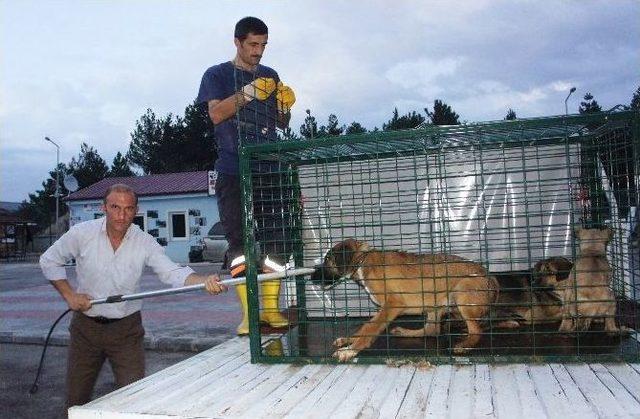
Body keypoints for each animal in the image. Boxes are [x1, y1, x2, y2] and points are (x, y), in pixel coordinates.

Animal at [312, 240, 498, 360]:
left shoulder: (392, 305)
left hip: (462, 294)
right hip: (435, 303)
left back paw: (464, 345)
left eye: (327, 260)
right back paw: (404, 332)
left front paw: (350, 350)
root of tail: (492, 278)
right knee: (432, 330)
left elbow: (370, 327)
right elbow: (366, 326)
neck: (363, 262)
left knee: (476, 331)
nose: (311, 278)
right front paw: (348, 340)